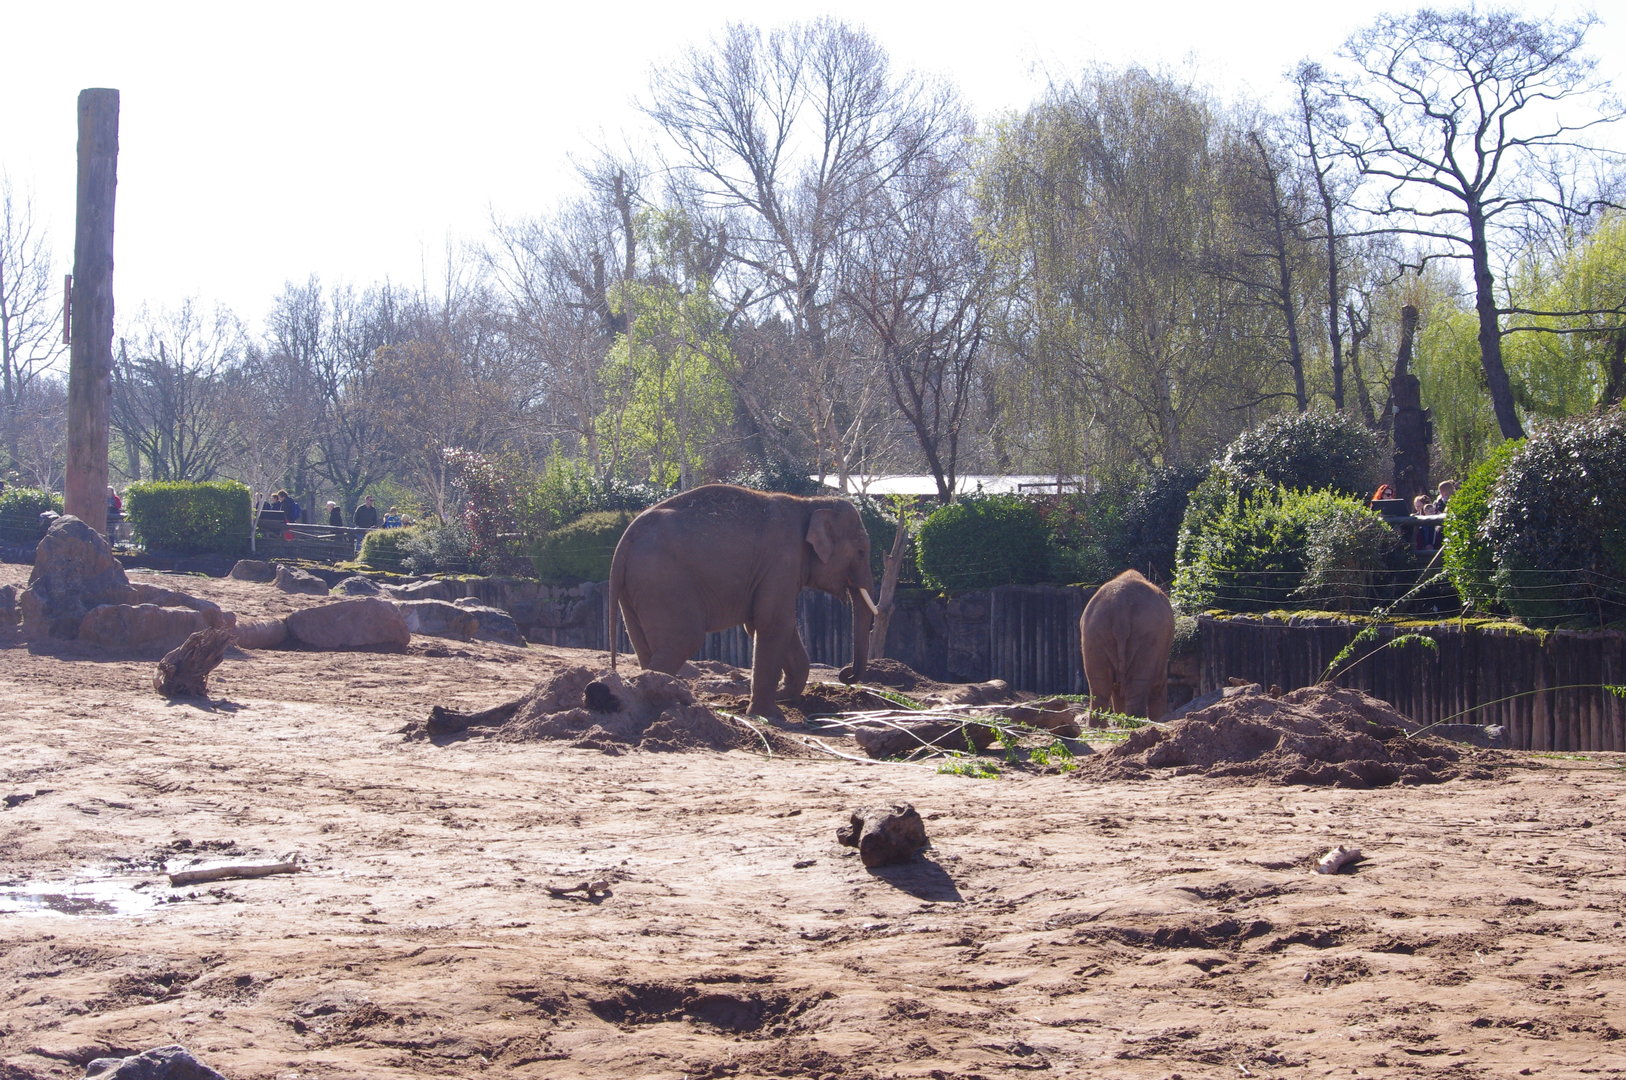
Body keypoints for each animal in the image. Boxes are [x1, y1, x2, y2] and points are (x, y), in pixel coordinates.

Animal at [608, 484, 877, 719]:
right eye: (861, 552)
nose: (845, 674)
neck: (810, 503)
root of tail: (624, 542)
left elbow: (771, 624)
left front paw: (783, 696)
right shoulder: (782, 560)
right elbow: (773, 622)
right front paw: (770, 716)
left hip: (636, 590)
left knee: (646, 646)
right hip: (664, 581)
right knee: (683, 640)